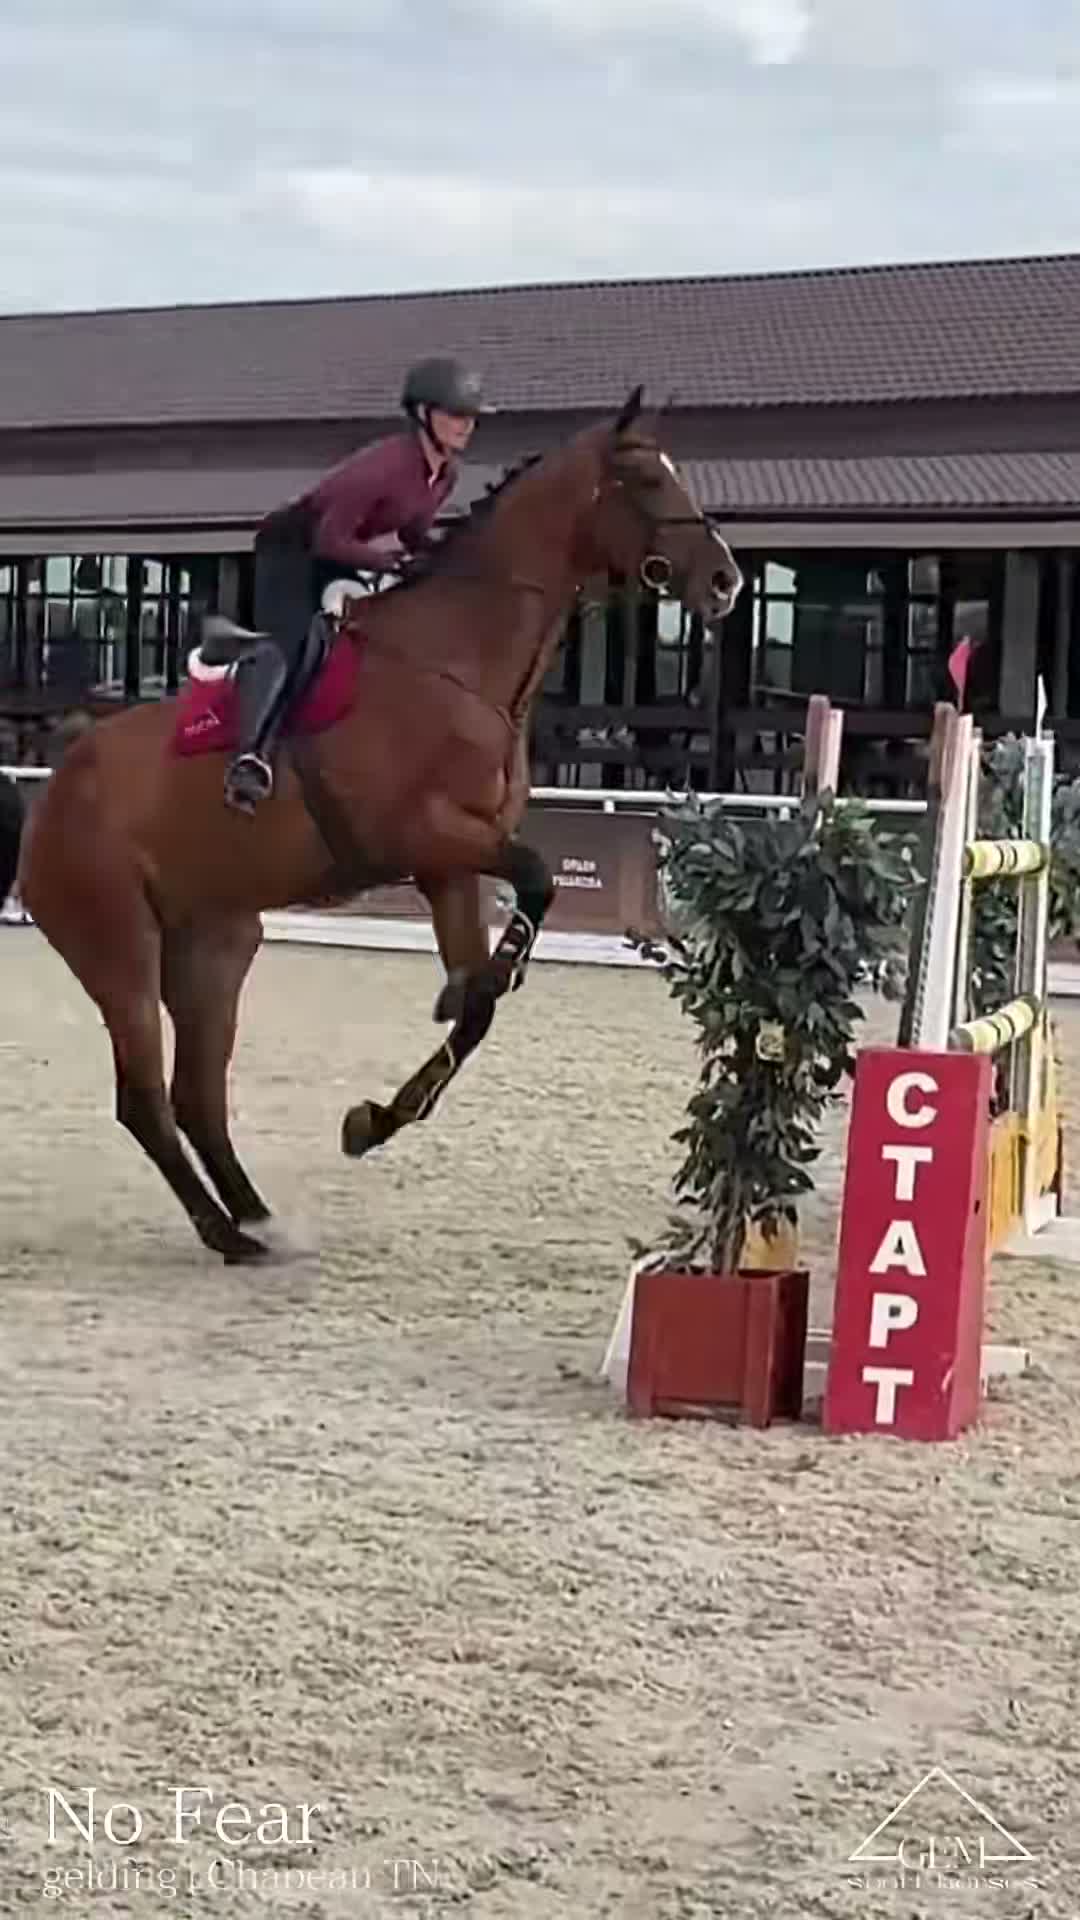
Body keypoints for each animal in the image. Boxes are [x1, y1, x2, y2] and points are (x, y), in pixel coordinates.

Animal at [4, 387, 743, 1264]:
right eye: (643, 479)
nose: (729, 582)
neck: (459, 664)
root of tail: (55, 791)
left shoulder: (450, 865)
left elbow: (481, 1002)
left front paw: (377, 1116)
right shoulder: (422, 835)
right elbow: (533, 885)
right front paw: (479, 985)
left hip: (215, 945)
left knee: (196, 1093)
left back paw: (255, 1216)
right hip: (118, 944)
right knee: (145, 1096)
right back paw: (225, 1232)